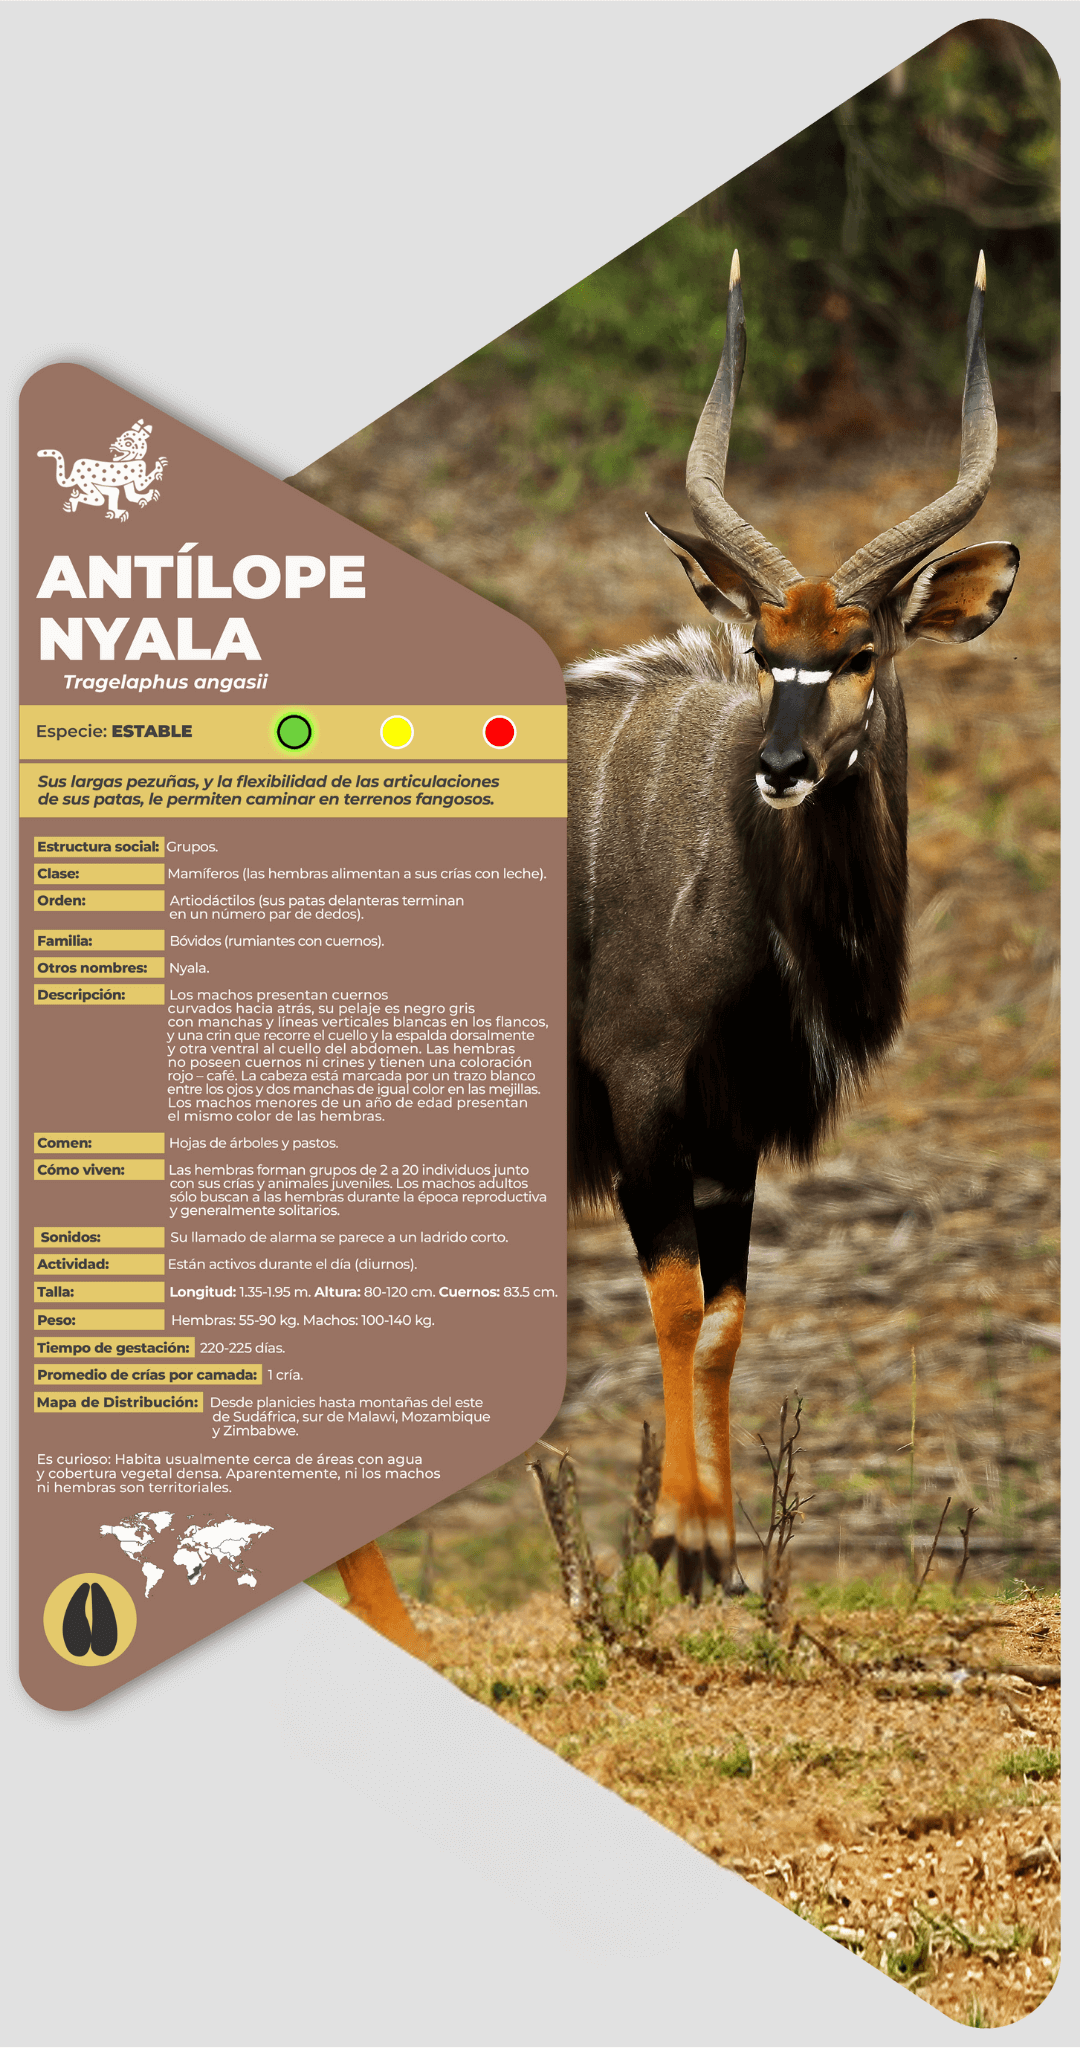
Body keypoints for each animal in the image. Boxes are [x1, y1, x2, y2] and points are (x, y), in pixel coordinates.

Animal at [567, 253, 1018, 1600]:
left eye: (860, 647)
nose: (780, 766)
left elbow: (726, 1320)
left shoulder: (735, 1129)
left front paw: (717, 1557)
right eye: (769, 650)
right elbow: (674, 1304)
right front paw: (684, 1536)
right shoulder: (644, 1094)